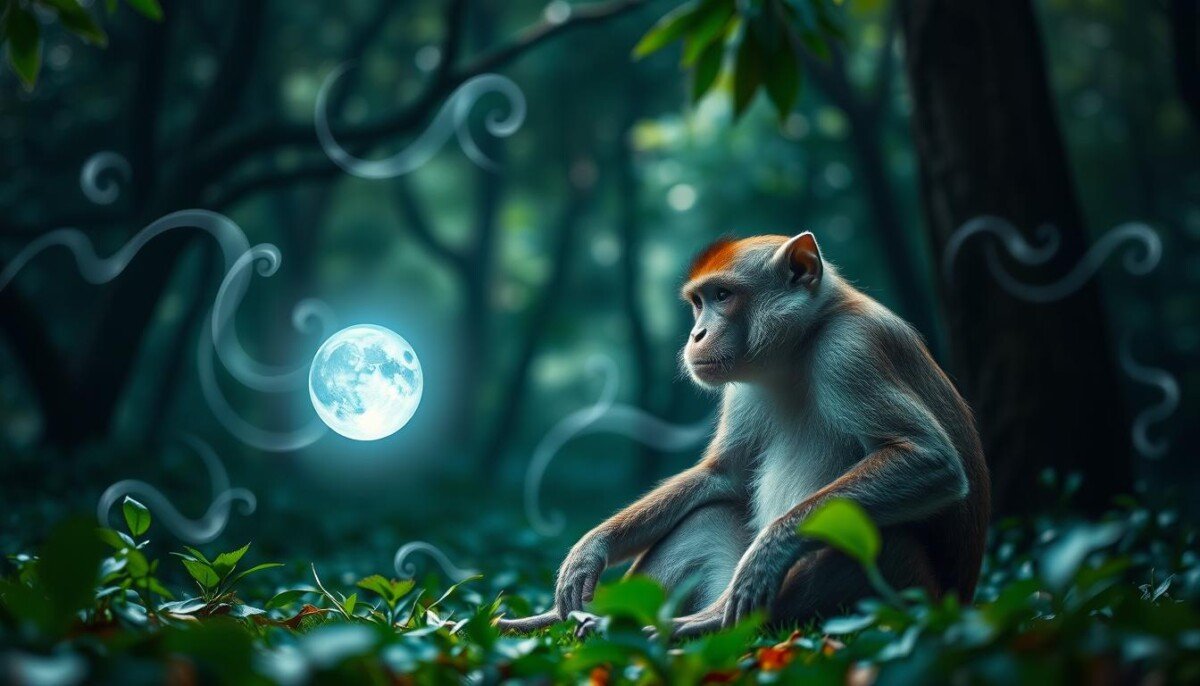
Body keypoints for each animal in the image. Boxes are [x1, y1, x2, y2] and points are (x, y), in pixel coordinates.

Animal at [498, 232, 990, 637]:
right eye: (699, 302)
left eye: (723, 295)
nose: (697, 334)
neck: (799, 346)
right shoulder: (741, 389)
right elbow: (724, 477)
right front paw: (590, 550)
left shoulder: (851, 351)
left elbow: (930, 461)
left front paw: (766, 554)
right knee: (705, 515)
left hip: (902, 593)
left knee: (867, 531)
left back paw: (702, 623)